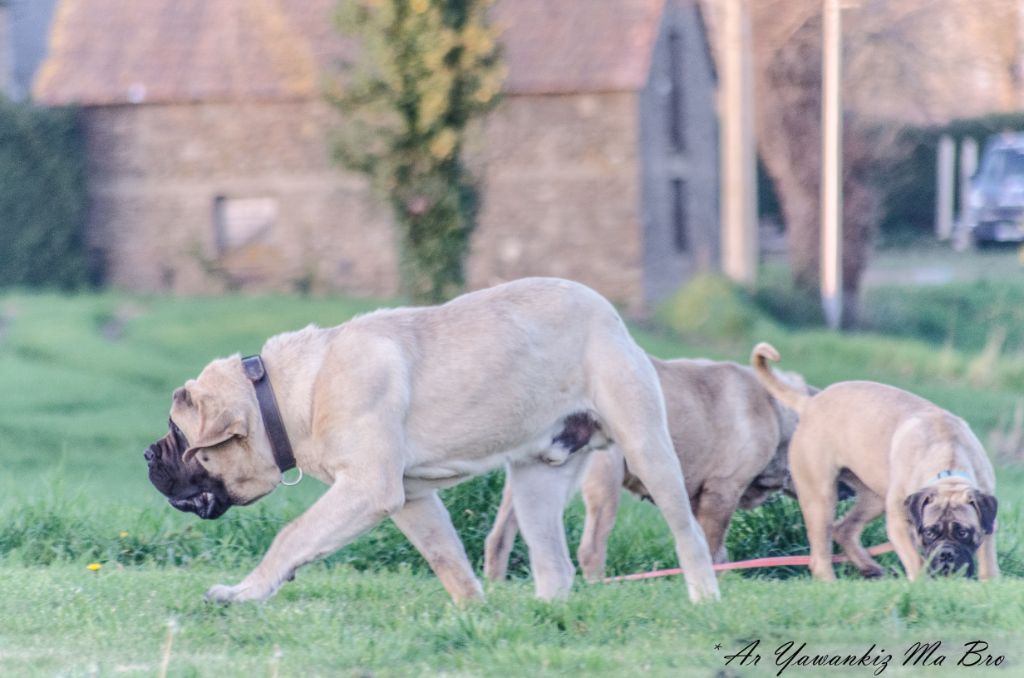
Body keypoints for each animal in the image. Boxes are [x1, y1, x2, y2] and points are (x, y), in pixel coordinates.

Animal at [146, 278, 720, 606]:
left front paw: (243, 593)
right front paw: (474, 612)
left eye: (177, 434)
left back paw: (704, 597)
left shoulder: (367, 488)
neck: (285, 398)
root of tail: (611, 312)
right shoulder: (411, 497)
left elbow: (291, 536)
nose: (148, 454)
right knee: (555, 567)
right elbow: (446, 557)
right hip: (535, 482)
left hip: (647, 447)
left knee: (688, 533)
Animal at [753, 346, 999, 585]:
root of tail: (810, 403)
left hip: (874, 498)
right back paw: (831, 581)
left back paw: (869, 567)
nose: (945, 554)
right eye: (929, 533)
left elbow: (987, 559)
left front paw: (989, 583)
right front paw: (922, 583)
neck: (947, 465)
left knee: (844, 529)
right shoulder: (899, 522)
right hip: (821, 497)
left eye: (964, 533)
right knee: (821, 552)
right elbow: (915, 560)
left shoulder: (987, 522)